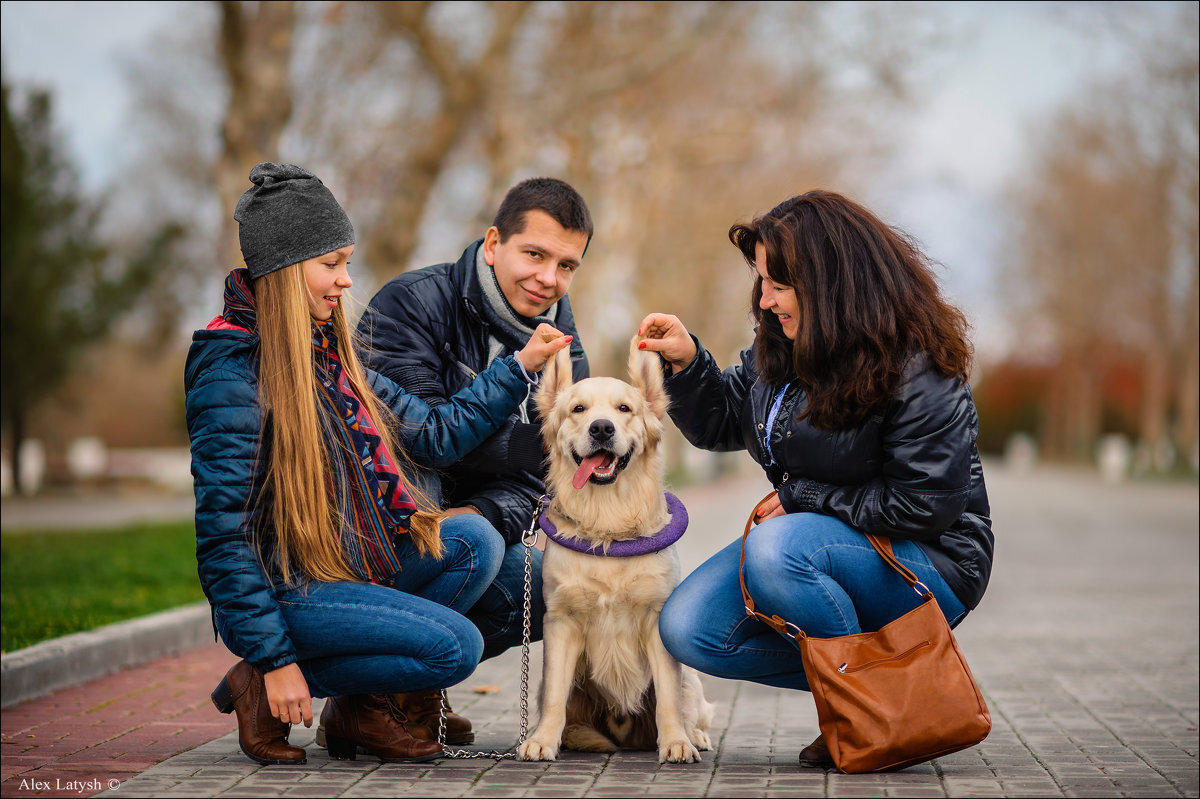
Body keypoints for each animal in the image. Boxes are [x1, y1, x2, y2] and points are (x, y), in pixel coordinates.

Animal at [516, 338, 710, 763]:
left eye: (624, 409)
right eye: (578, 409)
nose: (601, 428)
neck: (608, 523)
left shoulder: (657, 619)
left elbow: (669, 698)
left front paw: (676, 742)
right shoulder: (561, 622)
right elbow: (554, 695)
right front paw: (541, 740)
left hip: (692, 678)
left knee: (693, 706)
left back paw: (695, 735)